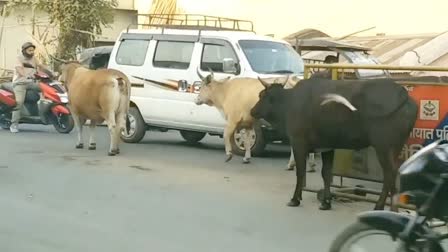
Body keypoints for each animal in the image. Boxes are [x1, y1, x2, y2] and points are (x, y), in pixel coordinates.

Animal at [250, 78, 418, 211]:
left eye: (262, 95)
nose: (252, 111)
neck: (289, 102)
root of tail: (403, 93)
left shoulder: (298, 143)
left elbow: (301, 172)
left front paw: (295, 199)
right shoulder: (327, 146)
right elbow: (326, 173)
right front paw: (326, 202)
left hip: (384, 147)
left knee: (390, 174)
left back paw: (384, 207)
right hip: (395, 148)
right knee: (392, 175)